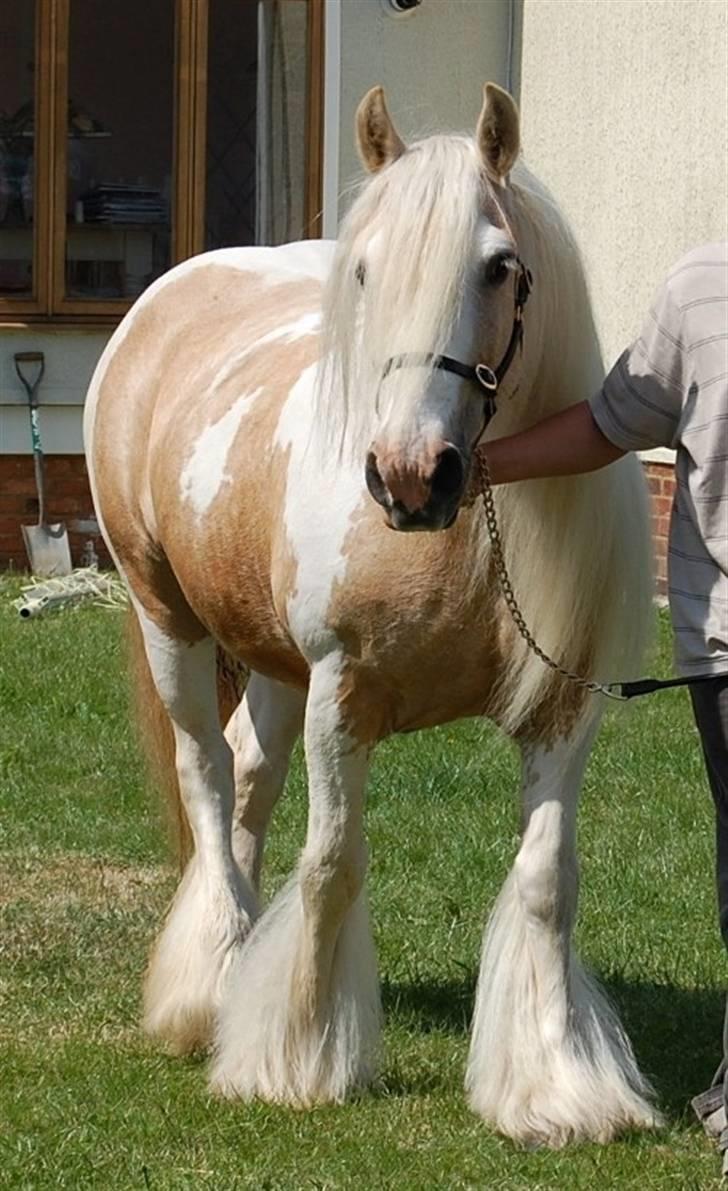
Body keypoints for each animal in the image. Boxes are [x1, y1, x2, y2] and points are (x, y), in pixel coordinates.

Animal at [85, 83, 662, 1143]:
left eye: (500, 266)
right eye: (364, 269)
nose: (409, 475)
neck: (469, 541)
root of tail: (165, 297)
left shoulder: (562, 714)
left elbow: (547, 881)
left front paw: (556, 1084)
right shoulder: (339, 697)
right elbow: (333, 863)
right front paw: (297, 1058)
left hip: (271, 662)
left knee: (249, 773)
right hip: (168, 619)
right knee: (206, 774)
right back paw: (209, 985)